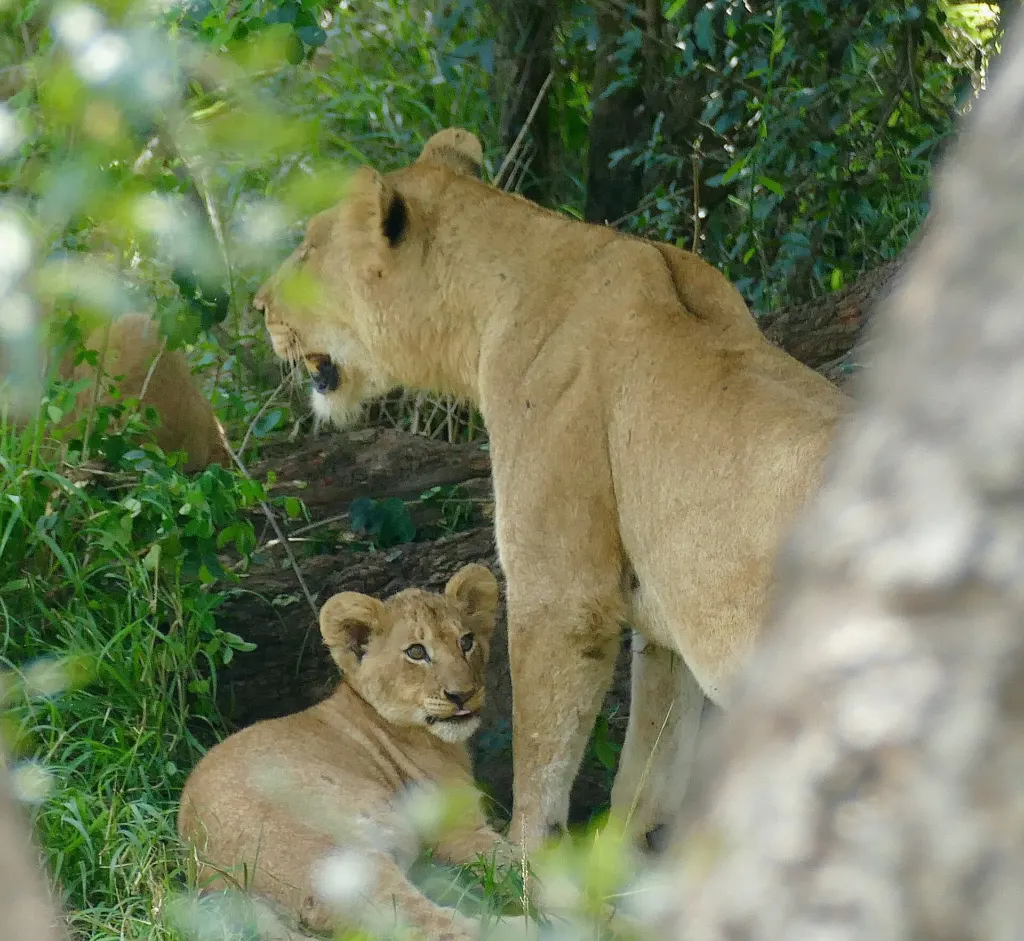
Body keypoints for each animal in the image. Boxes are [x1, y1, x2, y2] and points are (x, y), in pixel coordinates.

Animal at [177, 564, 525, 941]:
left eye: (466, 641)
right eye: (417, 652)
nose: (462, 695)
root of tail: (212, 877)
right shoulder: (459, 830)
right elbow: (524, 864)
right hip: (346, 860)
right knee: (426, 924)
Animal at [252, 128, 849, 855]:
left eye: (307, 249)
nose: (258, 305)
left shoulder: (561, 590)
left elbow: (542, 743)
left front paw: (525, 858)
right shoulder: (662, 610)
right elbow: (652, 753)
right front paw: (622, 858)